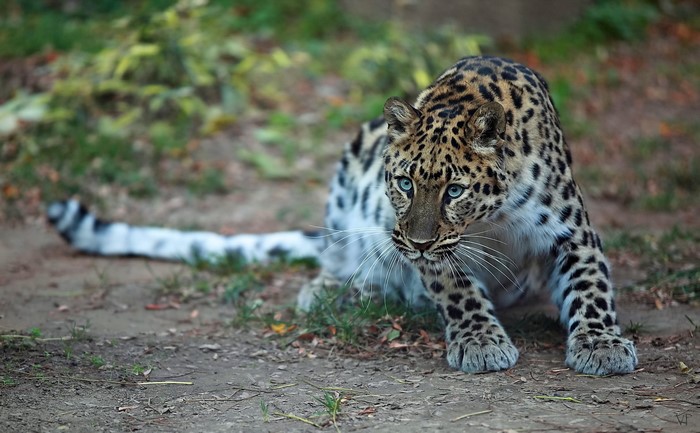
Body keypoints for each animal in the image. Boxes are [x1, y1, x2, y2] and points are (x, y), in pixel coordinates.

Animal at [48, 55, 638, 375]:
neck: (489, 221)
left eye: (454, 190)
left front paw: (602, 346)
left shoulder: (572, 231)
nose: (416, 243)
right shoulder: (432, 249)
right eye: (404, 183)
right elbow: (459, 290)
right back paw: (335, 290)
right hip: (351, 171)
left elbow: (590, 288)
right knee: (347, 260)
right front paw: (480, 342)